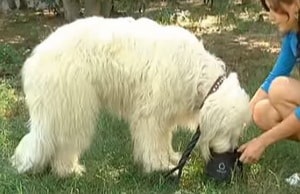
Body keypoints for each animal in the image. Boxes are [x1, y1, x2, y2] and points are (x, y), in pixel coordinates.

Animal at [11, 16, 251, 177]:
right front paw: (159, 166)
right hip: (74, 107)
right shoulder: (152, 113)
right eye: (230, 132)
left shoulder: (165, 114)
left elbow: (164, 138)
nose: (232, 152)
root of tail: (36, 56)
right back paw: (68, 170)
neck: (198, 75)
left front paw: (170, 157)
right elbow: (153, 140)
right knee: (65, 144)